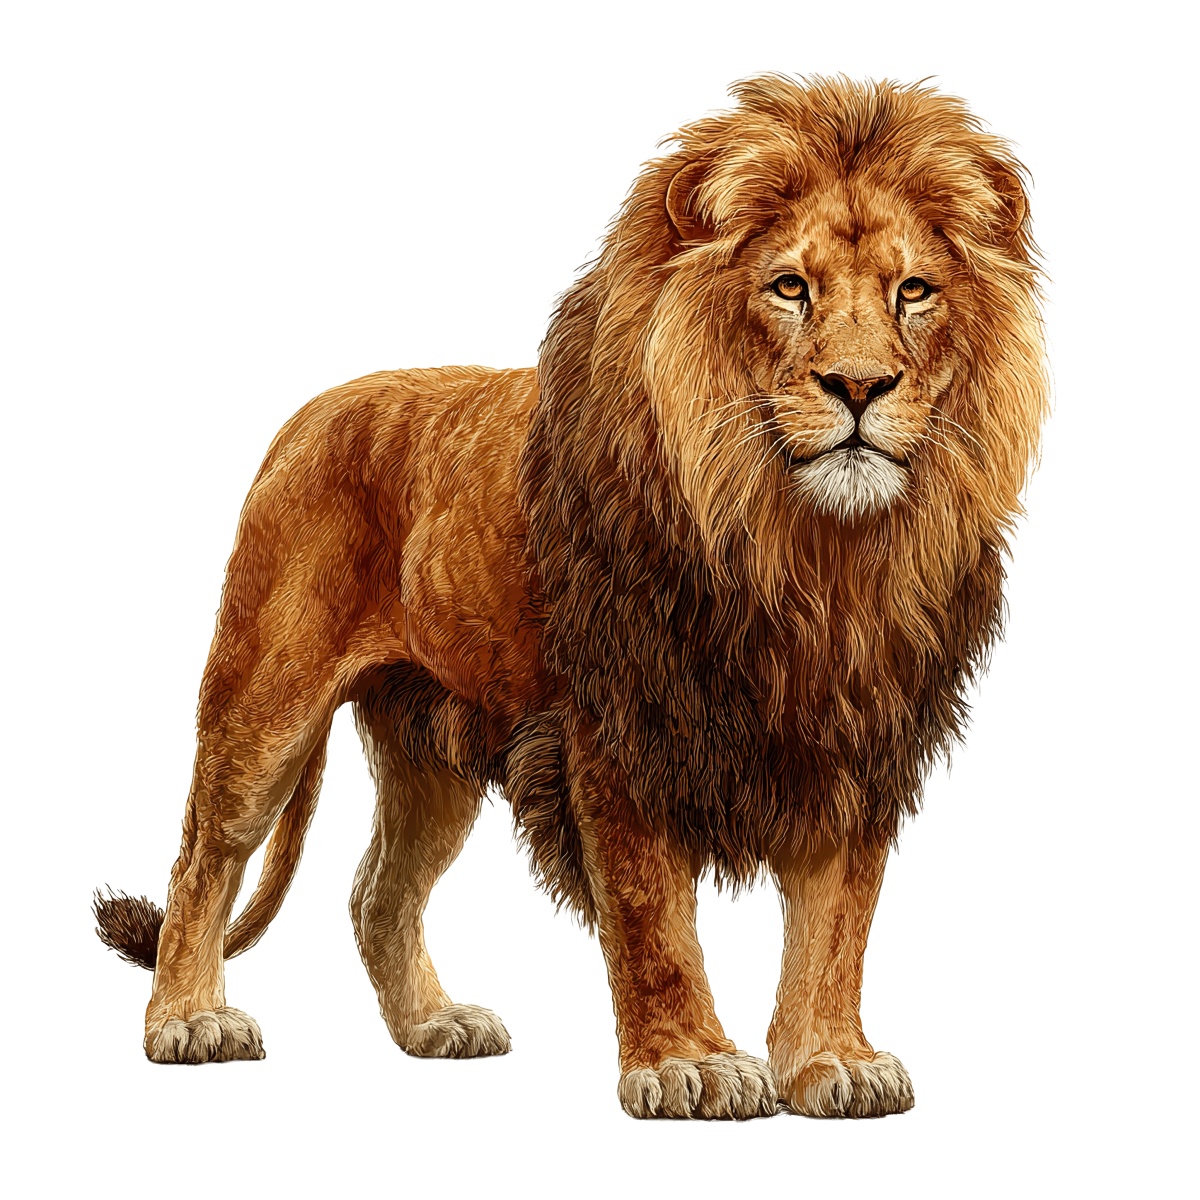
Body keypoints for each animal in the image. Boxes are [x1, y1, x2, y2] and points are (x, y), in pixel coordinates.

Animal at [95, 75, 1046, 1119]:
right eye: (790, 288)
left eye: (913, 292)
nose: (861, 386)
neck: (805, 552)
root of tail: (309, 415)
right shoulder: (617, 733)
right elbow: (651, 915)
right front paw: (687, 1065)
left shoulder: (854, 742)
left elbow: (837, 925)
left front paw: (830, 1060)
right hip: (264, 702)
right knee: (204, 859)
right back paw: (187, 1020)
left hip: (431, 742)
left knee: (377, 890)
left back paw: (434, 1024)